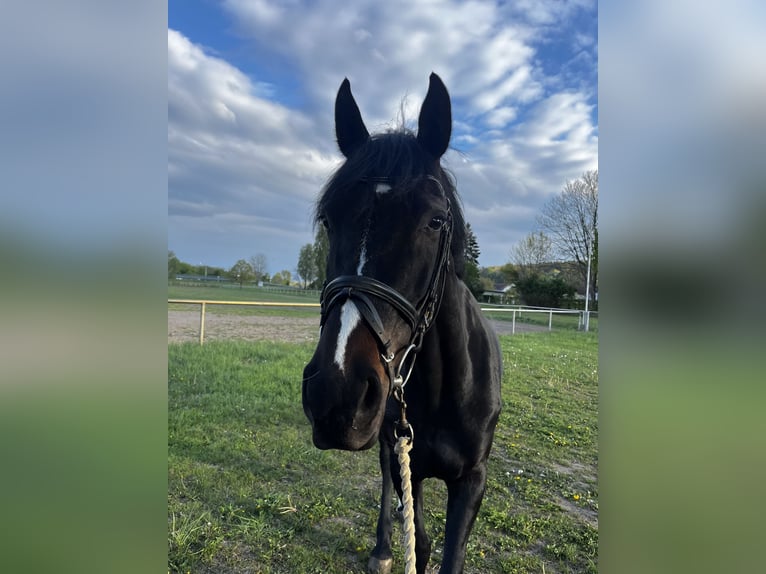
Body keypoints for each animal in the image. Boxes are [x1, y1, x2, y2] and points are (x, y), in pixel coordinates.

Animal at [304, 73, 508, 574]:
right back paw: (382, 549)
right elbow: (422, 538)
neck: (443, 388)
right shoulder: (404, 462)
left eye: (435, 220)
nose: (336, 392)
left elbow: (449, 554)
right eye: (328, 218)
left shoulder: (472, 481)